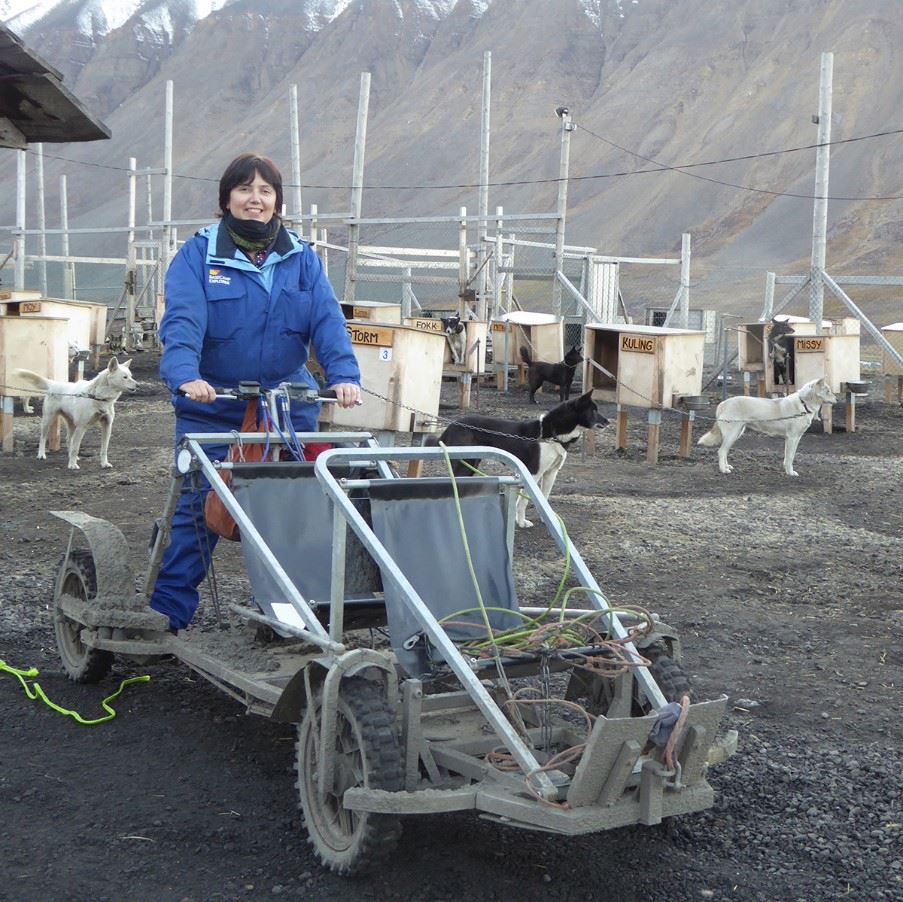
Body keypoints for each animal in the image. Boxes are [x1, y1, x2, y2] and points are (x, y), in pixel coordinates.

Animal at [430, 390, 608, 528]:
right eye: (594, 411)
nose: (608, 421)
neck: (551, 435)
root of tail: (450, 426)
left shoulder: (551, 473)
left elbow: (543, 498)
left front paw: (546, 519)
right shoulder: (534, 473)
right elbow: (524, 502)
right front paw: (522, 523)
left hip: (470, 464)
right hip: (463, 465)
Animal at [700, 378, 840, 480]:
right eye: (828, 391)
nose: (837, 399)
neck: (803, 404)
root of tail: (723, 403)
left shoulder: (794, 438)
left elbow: (788, 456)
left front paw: (787, 470)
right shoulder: (792, 438)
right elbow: (790, 457)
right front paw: (790, 473)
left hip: (737, 433)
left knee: (725, 451)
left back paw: (727, 466)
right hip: (732, 434)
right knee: (721, 451)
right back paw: (723, 470)